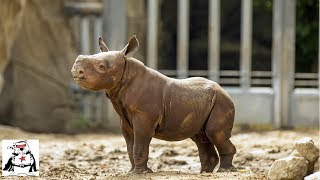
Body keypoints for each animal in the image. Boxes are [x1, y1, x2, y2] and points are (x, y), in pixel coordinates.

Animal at [71, 35, 236, 174]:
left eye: (101, 67)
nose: (76, 71)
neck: (126, 73)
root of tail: (225, 91)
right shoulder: (125, 119)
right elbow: (130, 145)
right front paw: (132, 172)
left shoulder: (144, 118)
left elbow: (140, 143)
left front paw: (141, 173)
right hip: (202, 103)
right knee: (201, 137)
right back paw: (204, 173)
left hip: (222, 102)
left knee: (214, 132)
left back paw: (225, 171)